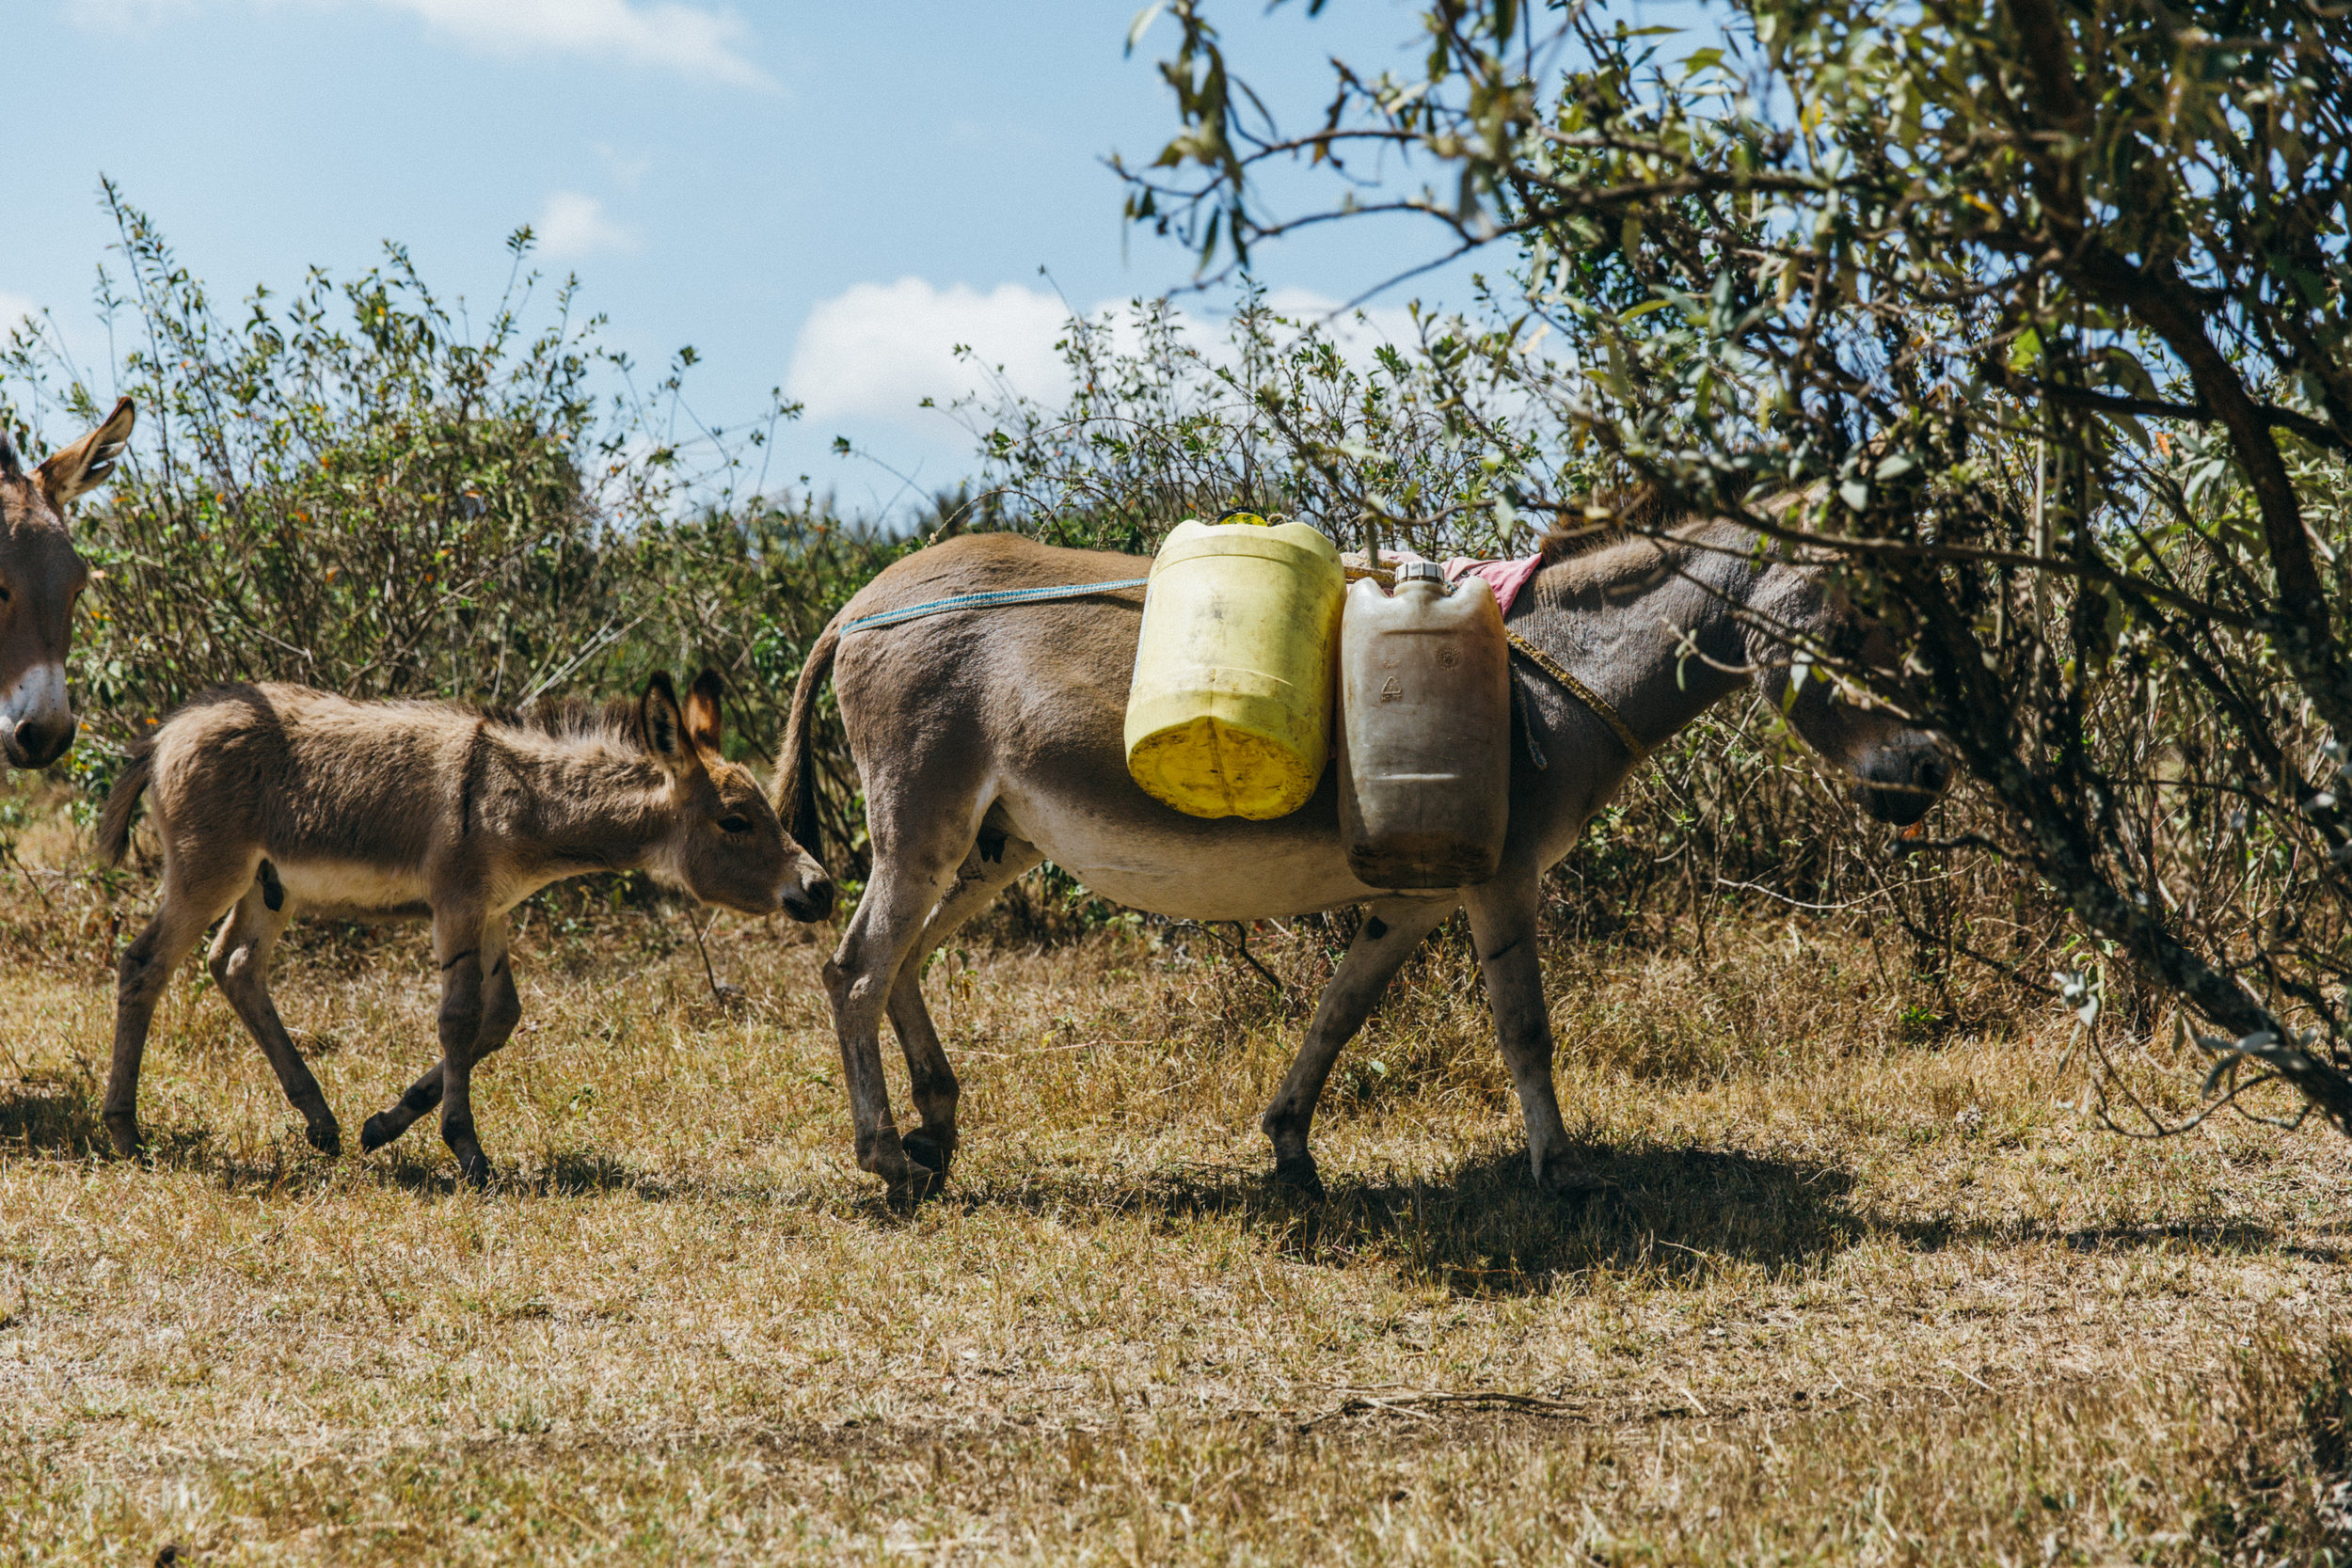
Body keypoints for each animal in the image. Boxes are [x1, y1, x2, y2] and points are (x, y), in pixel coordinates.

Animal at [101, 667, 837, 1184]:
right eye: (735, 821)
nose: (823, 889)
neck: (527, 801)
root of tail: (166, 731)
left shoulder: (494, 912)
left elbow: (500, 1017)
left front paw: (386, 1122)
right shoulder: (457, 905)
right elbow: (458, 1019)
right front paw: (468, 1150)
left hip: (267, 885)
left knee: (235, 965)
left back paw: (321, 1120)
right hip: (208, 873)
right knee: (145, 964)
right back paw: (125, 1132)